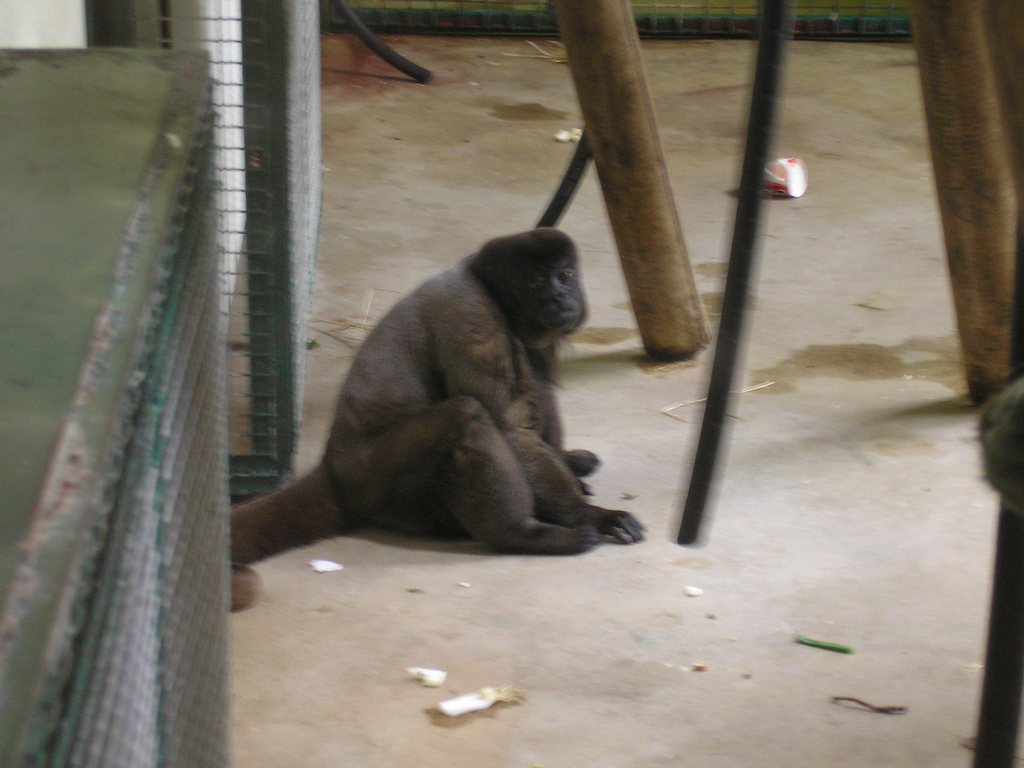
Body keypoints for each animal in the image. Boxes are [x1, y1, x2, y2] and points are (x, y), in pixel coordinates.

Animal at [230, 228, 645, 610]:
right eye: (538, 282)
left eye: (566, 275)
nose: (561, 296)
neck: (489, 287)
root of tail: (334, 464)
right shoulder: (475, 327)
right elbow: (509, 428)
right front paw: (590, 515)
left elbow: (534, 397)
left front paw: (569, 464)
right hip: (380, 480)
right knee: (468, 413)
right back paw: (520, 534)